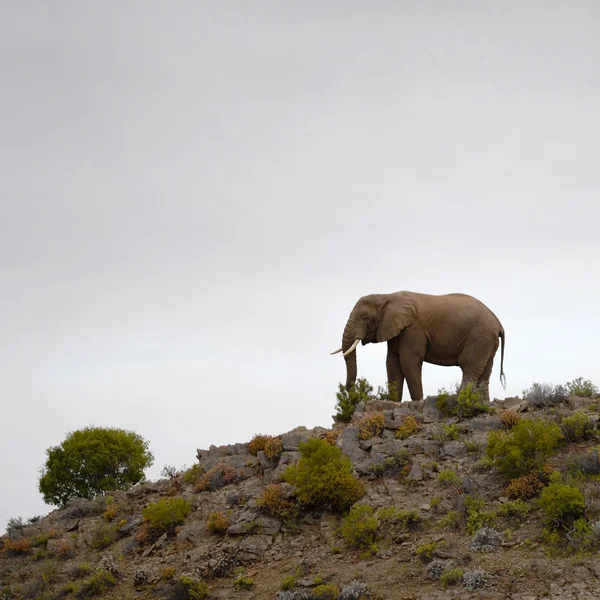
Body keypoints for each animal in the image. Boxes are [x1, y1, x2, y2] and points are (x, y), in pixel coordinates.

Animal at [330, 290, 504, 404]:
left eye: (365, 317)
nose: (351, 393)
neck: (387, 296)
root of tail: (498, 324)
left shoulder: (413, 328)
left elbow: (408, 360)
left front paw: (418, 402)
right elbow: (392, 363)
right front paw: (394, 403)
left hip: (479, 336)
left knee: (469, 367)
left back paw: (461, 399)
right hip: (488, 341)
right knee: (485, 373)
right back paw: (483, 402)